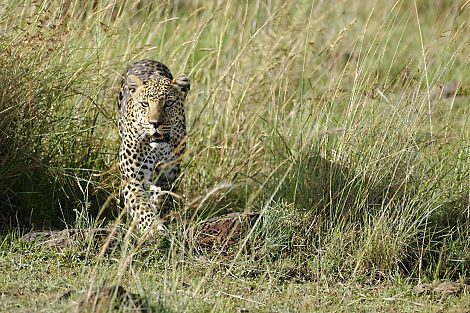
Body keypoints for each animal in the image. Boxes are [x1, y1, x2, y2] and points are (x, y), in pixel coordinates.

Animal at [116, 60, 190, 234]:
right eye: (145, 104)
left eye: (168, 103)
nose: (155, 123)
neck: (158, 149)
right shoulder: (133, 177)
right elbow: (141, 205)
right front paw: (152, 228)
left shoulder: (168, 174)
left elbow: (162, 199)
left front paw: (159, 218)